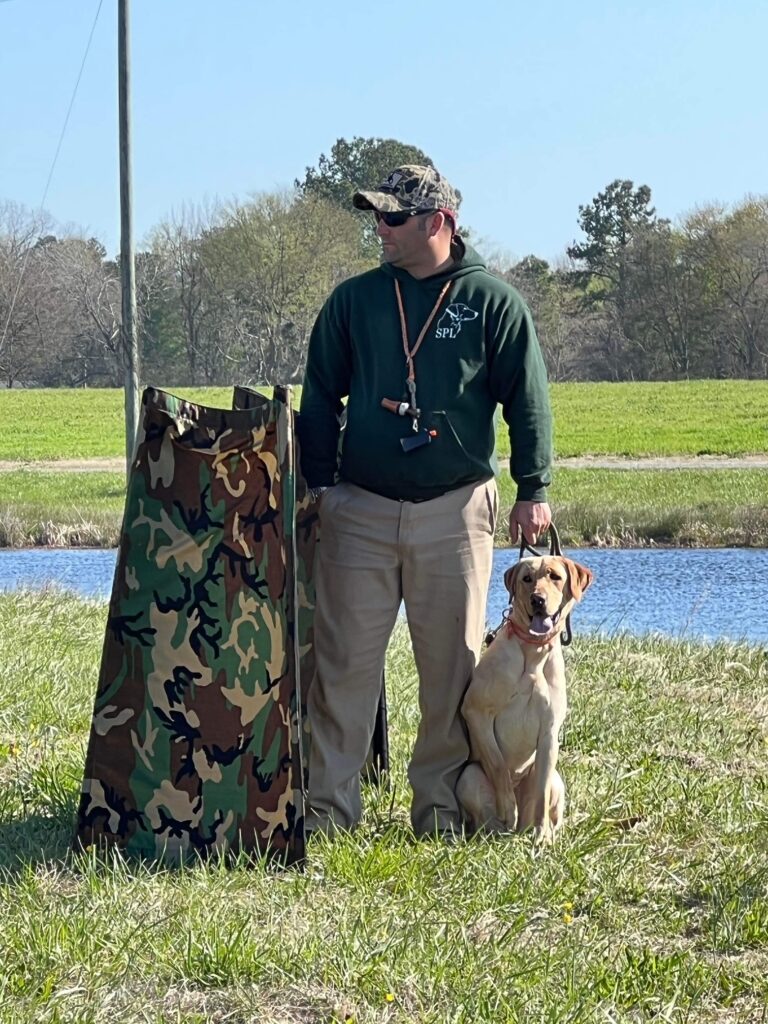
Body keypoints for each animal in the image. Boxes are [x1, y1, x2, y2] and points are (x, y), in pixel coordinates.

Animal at [456, 557, 593, 843]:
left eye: (555, 577)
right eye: (526, 579)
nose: (538, 600)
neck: (534, 650)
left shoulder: (550, 732)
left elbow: (541, 794)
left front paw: (541, 837)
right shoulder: (476, 711)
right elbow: (498, 766)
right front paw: (509, 806)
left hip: (557, 780)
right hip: (468, 777)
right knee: (485, 819)